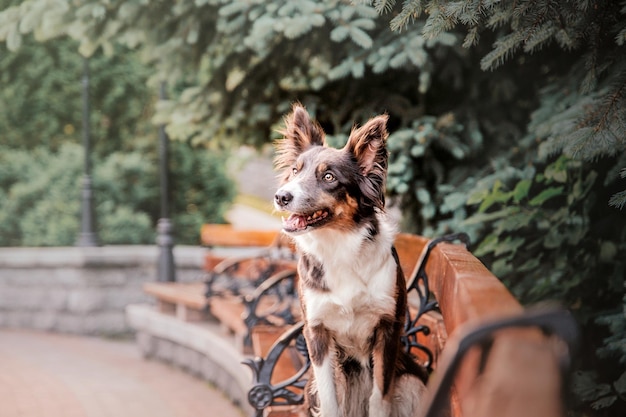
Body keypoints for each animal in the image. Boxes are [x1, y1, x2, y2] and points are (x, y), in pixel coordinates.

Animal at [274, 104, 428, 416]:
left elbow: (380, 397)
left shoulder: (388, 328)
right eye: (295, 170)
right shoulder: (317, 331)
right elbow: (330, 401)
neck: (338, 245)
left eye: (329, 177)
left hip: (412, 382)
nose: (281, 197)